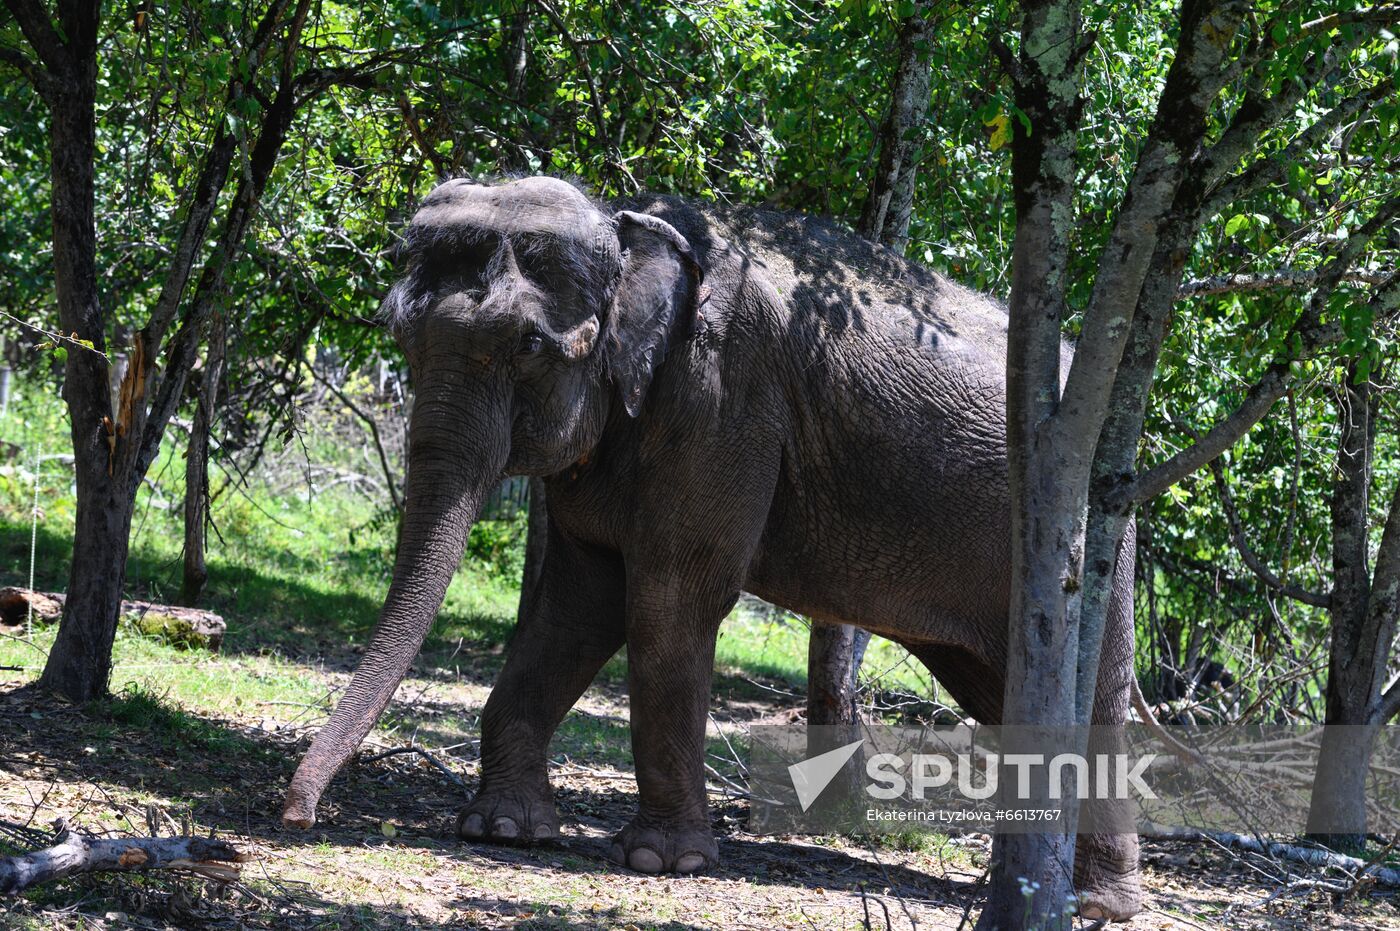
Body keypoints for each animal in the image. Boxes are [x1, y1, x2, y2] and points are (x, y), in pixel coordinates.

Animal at [281, 176, 1145, 921]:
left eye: (528, 343)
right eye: (398, 331)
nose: (296, 814)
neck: (627, 225)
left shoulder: (724, 397)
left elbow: (670, 598)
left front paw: (662, 862)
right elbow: (577, 604)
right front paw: (501, 828)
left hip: (1092, 533)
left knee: (1088, 690)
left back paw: (1093, 904)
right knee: (1003, 690)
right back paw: (1031, 883)